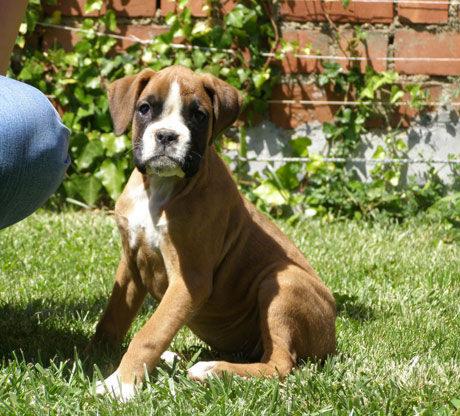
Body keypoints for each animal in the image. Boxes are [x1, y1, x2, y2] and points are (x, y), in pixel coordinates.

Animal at [93, 66, 336, 404]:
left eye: (198, 115)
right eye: (144, 109)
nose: (166, 135)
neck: (160, 189)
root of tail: (332, 338)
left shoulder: (188, 281)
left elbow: (151, 333)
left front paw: (121, 384)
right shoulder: (130, 263)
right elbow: (113, 318)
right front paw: (95, 353)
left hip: (282, 284)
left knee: (280, 364)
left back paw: (210, 370)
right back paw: (176, 359)